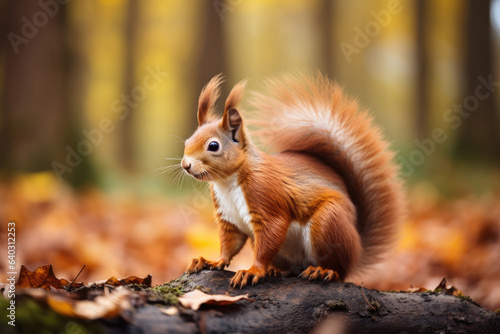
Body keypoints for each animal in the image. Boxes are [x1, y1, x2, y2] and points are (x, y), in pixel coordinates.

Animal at [182, 74, 404, 288]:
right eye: (187, 141)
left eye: (213, 145)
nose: (185, 165)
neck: (227, 182)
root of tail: (357, 249)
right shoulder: (228, 217)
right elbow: (230, 244)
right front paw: (213, 261)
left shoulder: (265, 195)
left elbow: (271, 233)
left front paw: (252, 270)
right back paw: (276, 271)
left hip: (328, 223)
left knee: (339, 270)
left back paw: (323, 271)